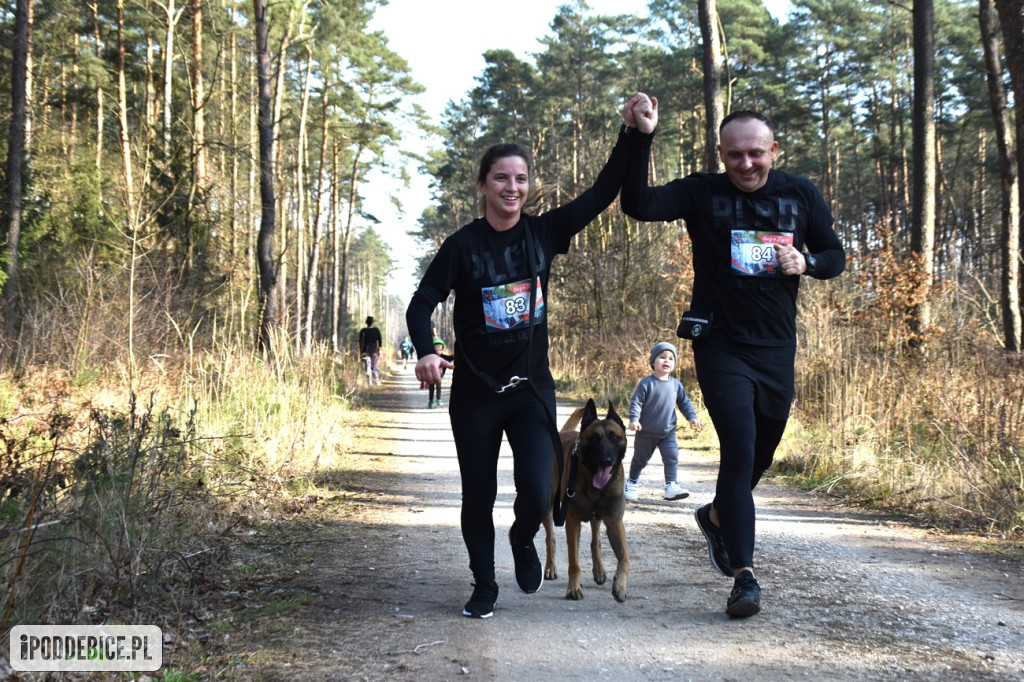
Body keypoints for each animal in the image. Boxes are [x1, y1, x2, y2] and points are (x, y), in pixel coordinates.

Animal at [540, 399, 626, 602]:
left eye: (614, 437)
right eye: (594, 438)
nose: (606, 460)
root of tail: (562, 433)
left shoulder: (615, 523)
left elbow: (624, 558)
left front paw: (620, 586)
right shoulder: (572, 523)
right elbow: (574, 561)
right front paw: (573, 588)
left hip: (597, 518)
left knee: (596, 540)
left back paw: (599, 570)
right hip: (548, 507)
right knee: (550, 538)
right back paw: (550, 568)